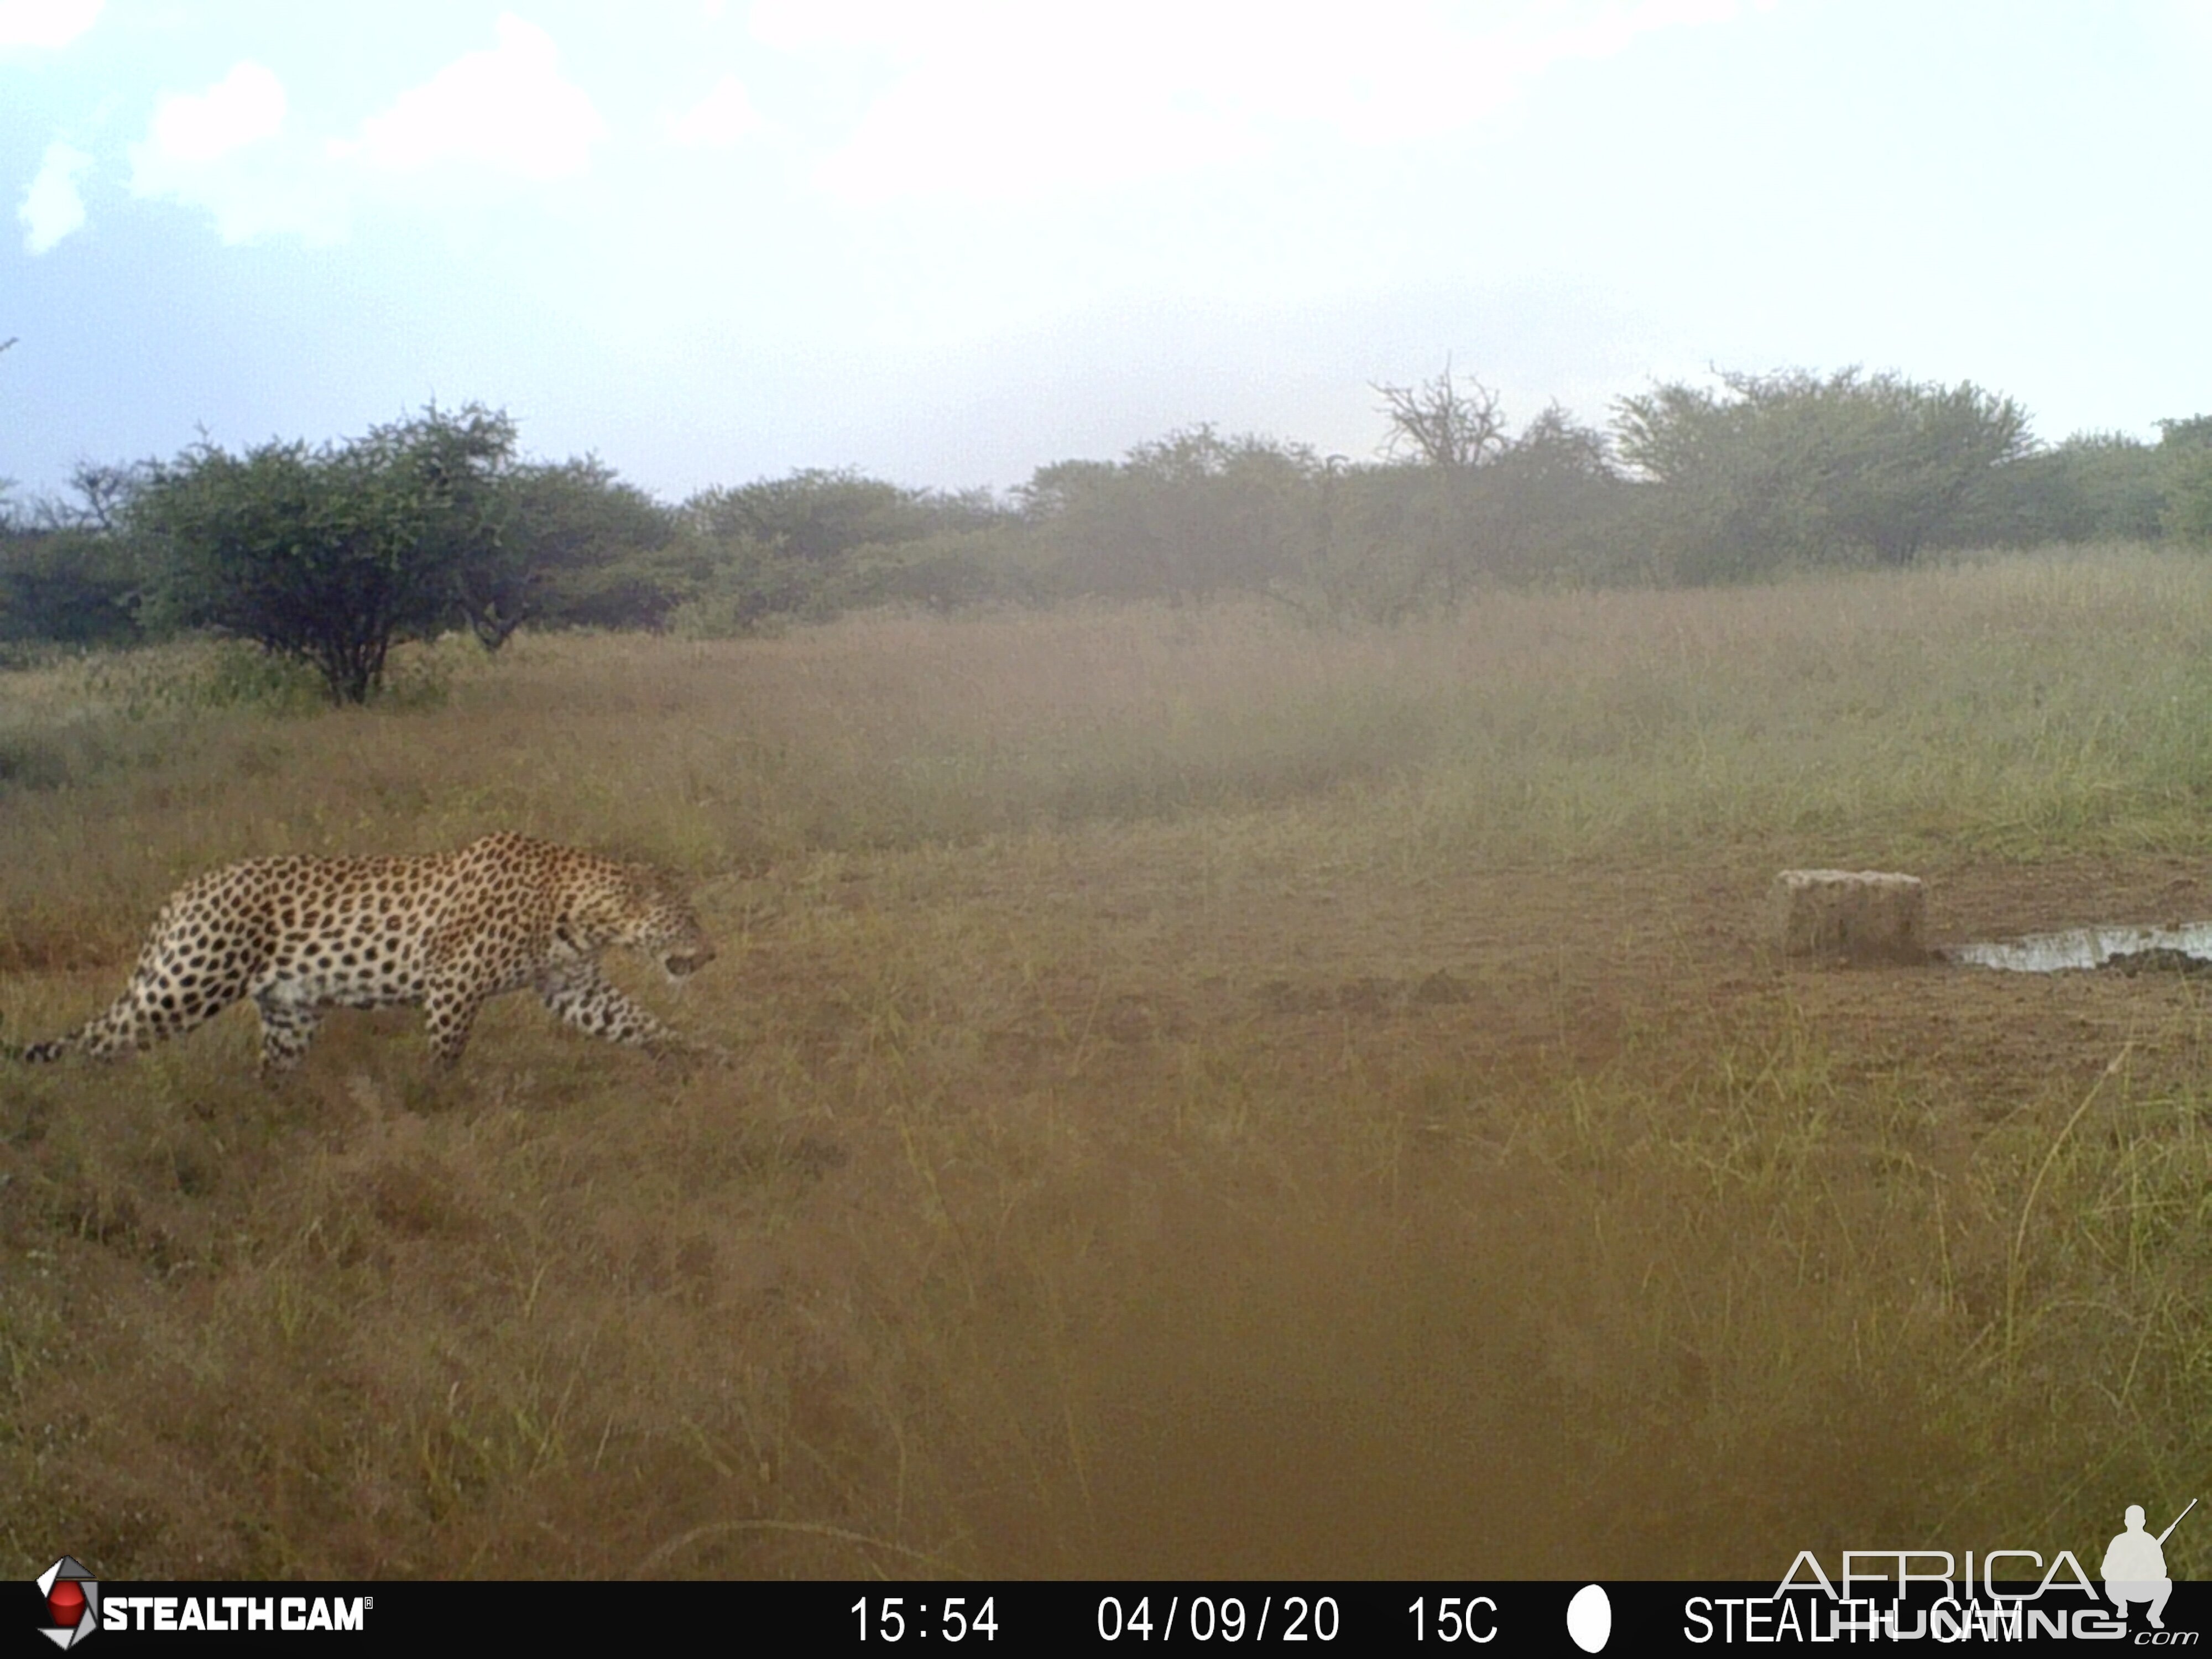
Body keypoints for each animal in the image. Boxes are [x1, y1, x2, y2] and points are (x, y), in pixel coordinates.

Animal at [0, 832, 717, 1079]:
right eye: (685, 917)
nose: (710, 955)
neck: (580, 910)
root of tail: (183, 891)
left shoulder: (573, 988)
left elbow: (640, 1022)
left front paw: (704, 1056)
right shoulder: (454, 982)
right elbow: (446, 1055)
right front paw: (437, 1101)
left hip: (289, 1014)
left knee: (270, 1072)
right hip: (187, 982)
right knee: (101, 1042)